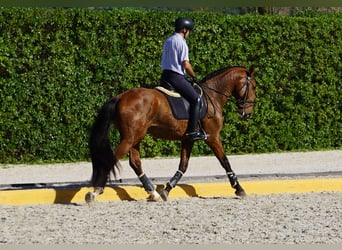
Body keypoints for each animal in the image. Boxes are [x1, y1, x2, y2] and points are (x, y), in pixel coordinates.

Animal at [85, 65, 256, 202]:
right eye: (254, 86)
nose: (247, 113)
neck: (212, 96)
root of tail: (121, 97)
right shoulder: (213, 137)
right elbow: (225, 161)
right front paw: (239, 188)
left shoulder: (188, 139)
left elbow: (183, 165)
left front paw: (167, 190)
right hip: (130, 138)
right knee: (113, 159)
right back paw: (96, 192)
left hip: (134, 137)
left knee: (135, 162)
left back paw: (153, 193)